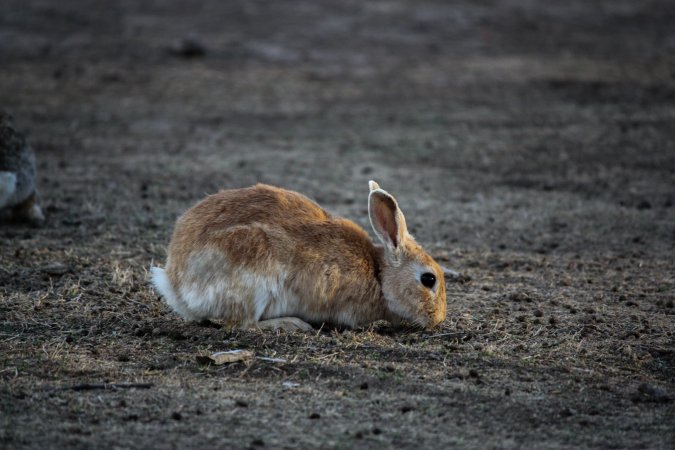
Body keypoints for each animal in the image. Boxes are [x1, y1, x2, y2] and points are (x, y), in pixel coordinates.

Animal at [151, 181, 447, 331]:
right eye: (428, 279)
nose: (439, 319)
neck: (379, 275)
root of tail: (177, 284)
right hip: (252, 278)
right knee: (241, 324)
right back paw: (293, 324)